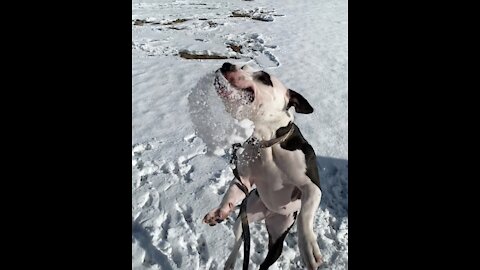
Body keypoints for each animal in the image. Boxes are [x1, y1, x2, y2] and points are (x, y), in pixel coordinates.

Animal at [202, 63, 322, 270]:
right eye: (243, 66)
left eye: (264, 78)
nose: (227, 64)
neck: (266, 140)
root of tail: (268, 214)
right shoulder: (243, 179)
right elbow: (229, 195)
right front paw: (220, 210)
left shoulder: (311, 187)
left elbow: (305, 215)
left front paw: (308, 245)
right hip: (246, 214)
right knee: (240, 239)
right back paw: (230, 261)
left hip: (278, 238)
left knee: (265, 260)